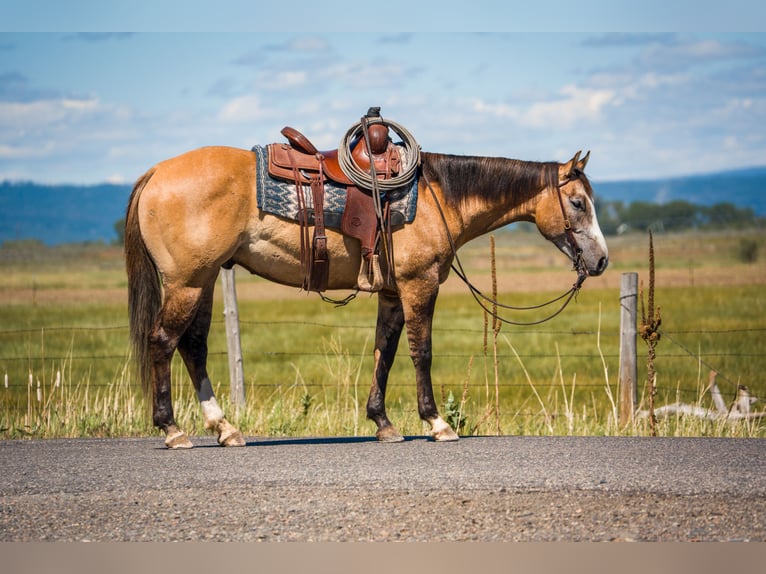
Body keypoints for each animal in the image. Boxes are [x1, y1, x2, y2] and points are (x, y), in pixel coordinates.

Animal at [125, 145, 609, 448]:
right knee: (163, 342)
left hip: (203, 281)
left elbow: (385, 353)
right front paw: (437, 422)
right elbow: (421, 352)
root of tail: (156, 172)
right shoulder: (419, 284)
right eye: (579, 203)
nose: (601, 260)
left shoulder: (392, 293)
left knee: (193, 348)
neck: (438, 197)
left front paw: (382, 422)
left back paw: (224, 428)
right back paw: (173, 430)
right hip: (188, 282)